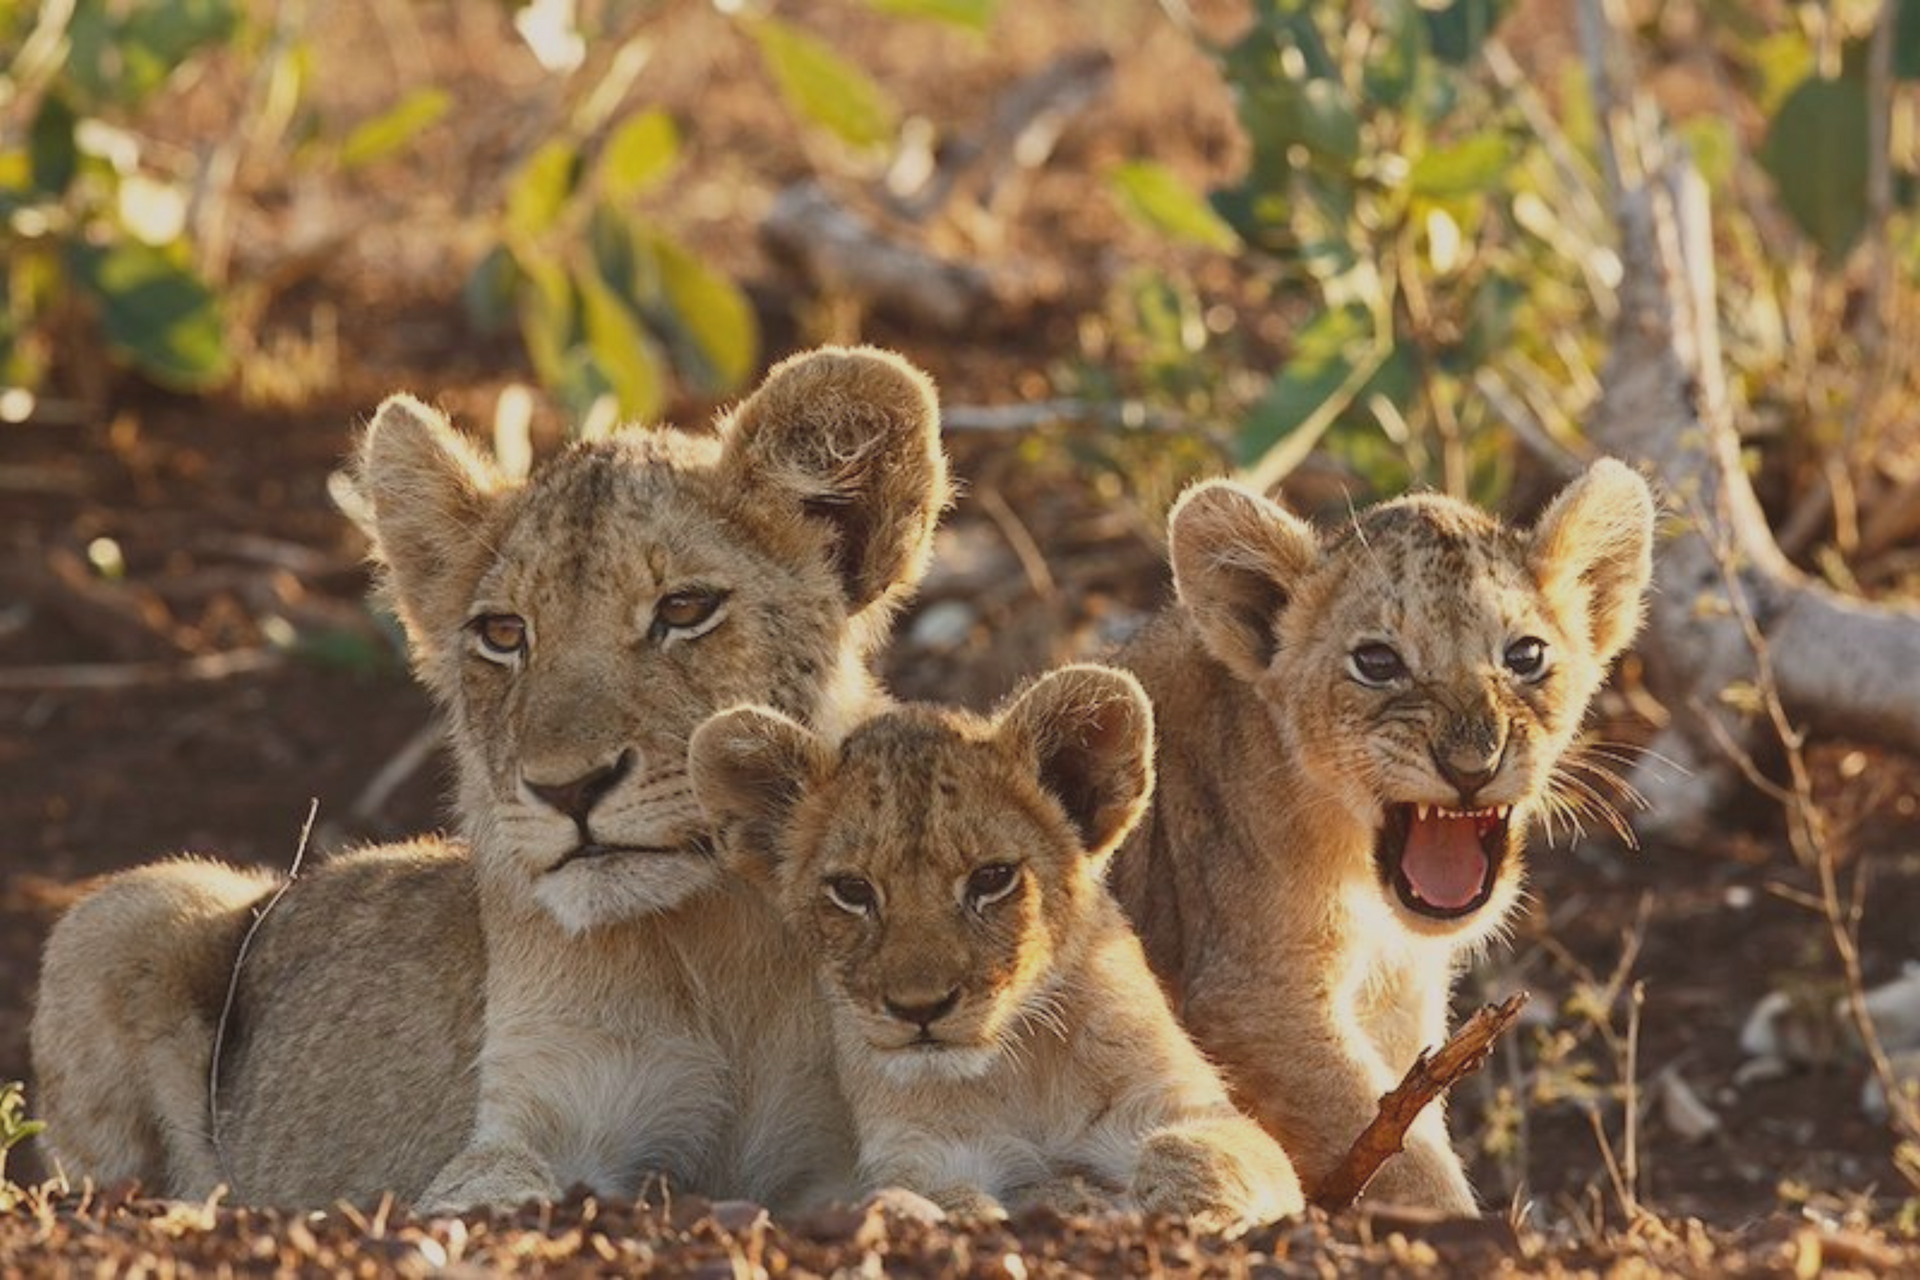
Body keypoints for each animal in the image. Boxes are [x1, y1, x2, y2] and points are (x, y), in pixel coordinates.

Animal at [30, 346, 951, 1211]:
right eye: (504, 633)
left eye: (685, 610)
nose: (568, 790)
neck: (725, 951)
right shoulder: (534, 1110)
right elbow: (487, 1187)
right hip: (128, 908)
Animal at [688, 664, 1305, 1230]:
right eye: (853, 890)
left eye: (992, 878)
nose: (920, 1009)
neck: (1017, 1070)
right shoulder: (919, 1154)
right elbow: (938, 1198)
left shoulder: (1186, 1106)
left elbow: (1202, 1151)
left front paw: (1189, 1210)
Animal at [1106, 460, 1655, 1213]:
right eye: (1376, 661)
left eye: (1525, 655)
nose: (1471, 765)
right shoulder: (1251, 999)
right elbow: (1407, 1165)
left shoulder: (1398, 1006)